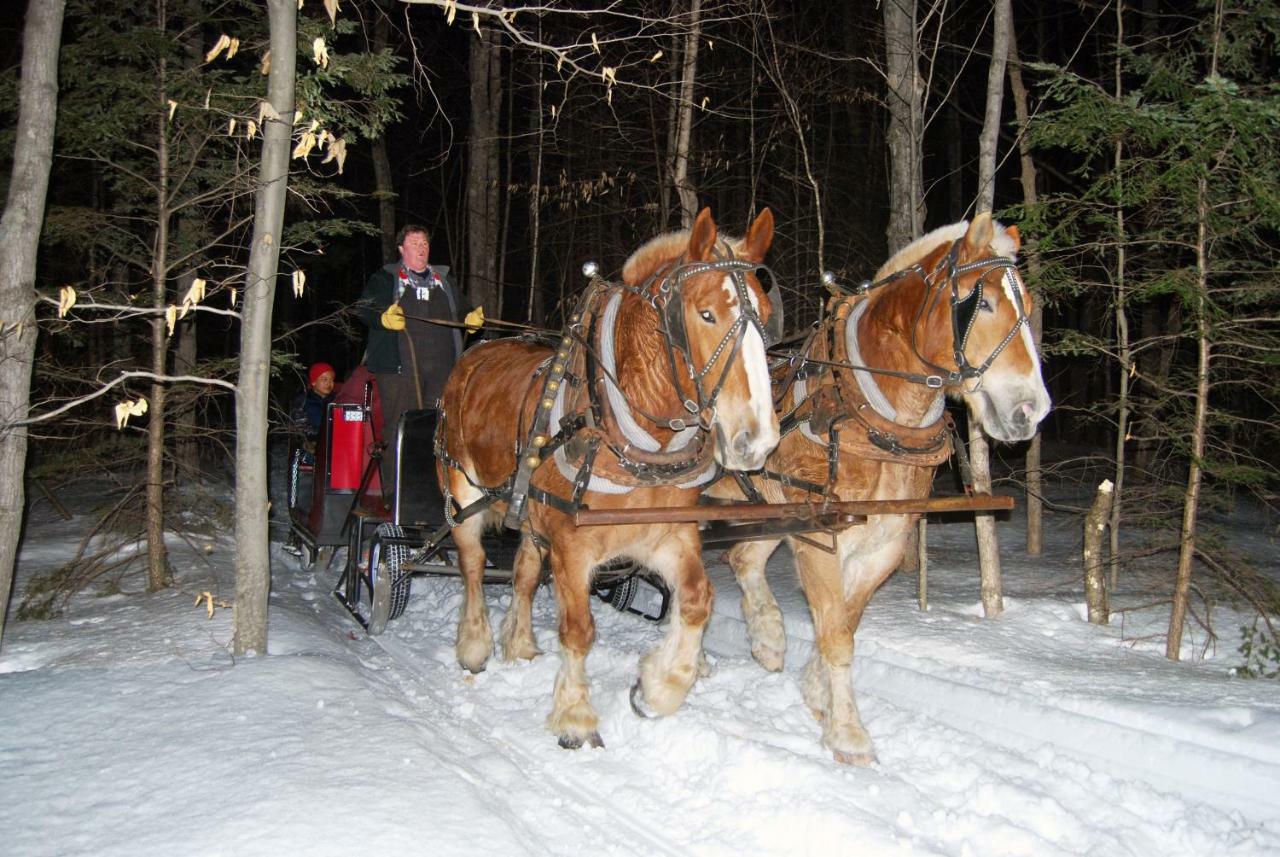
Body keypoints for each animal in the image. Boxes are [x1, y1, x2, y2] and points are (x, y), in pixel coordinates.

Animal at [440, 208, 778, 752]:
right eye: (706, 314)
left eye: (766, 316)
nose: (758, 440)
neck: (636, 442)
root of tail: (477, 350)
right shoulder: (572, 546)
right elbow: (579, 630)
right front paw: (575, 716)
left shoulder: (668, 534)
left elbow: (697, 601)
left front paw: (658, 687)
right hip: (461, 487)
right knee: (472, 563)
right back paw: (475, 644)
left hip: (530, 511)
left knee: (523, 573)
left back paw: (521, 643)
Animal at [716, 213, 1054, 767]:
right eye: (981, 303)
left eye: (1027, 303)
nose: (1031, 409)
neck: (867, 414)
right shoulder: (820, 537)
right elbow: (835, 632)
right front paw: (849, 735)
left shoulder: (886, 541)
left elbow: (845, 623)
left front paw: (817, 695)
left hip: (766, 505)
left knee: (743, 558)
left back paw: (767, 637)